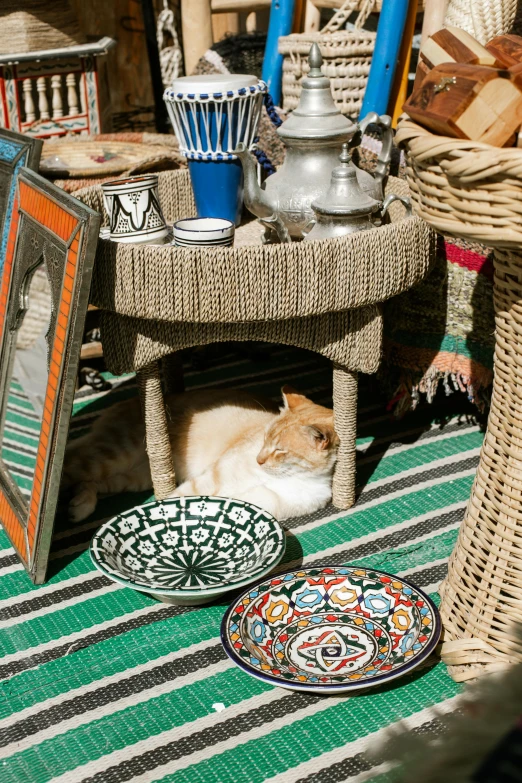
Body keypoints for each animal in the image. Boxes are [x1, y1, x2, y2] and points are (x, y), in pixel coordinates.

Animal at [62, 384, 338, 520]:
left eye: (280, 450)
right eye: (264, 439)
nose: (258, 460)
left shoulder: (260, 502)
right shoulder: (209, 479)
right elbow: (176, 502)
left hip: (134, 477)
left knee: (91, 483)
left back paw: (80, 507)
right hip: (110, 456)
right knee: (70, 467)